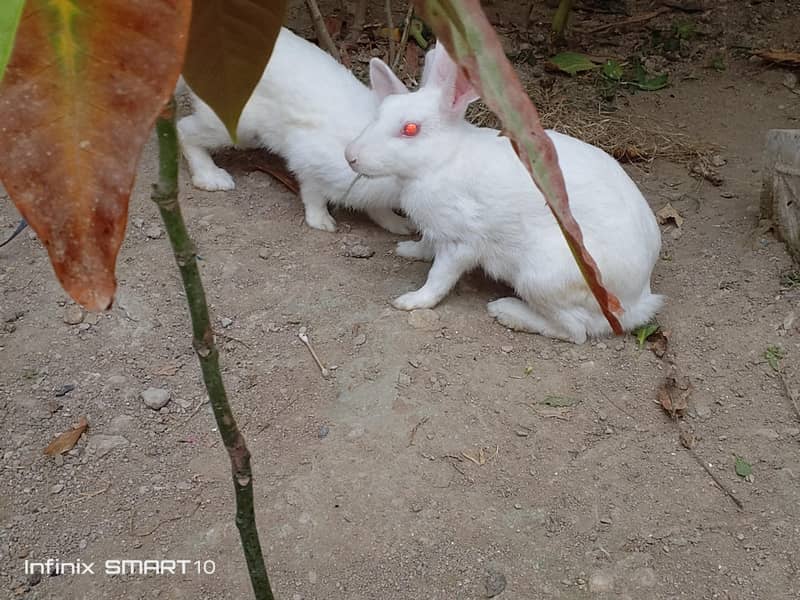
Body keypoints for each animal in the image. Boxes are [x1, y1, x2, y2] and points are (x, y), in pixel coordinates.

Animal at [177, 27, 413, 235]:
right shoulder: (311, 162)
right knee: (184, 130)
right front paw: (322, 223)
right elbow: (313, 194)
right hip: (233, 126)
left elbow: (379, 210)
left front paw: (400, 226)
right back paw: (212, 178)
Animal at [344, 43, 662, 344]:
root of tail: (637, 301)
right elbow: (426, 247)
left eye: (410, 129)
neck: (444, 159)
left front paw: (411, 301)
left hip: (541, 276)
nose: (351, 156)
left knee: (575, 331)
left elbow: (439, 277)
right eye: (379, 115)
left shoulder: (460, 242)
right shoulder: (436, 232)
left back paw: (506, 311)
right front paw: (408, 250)